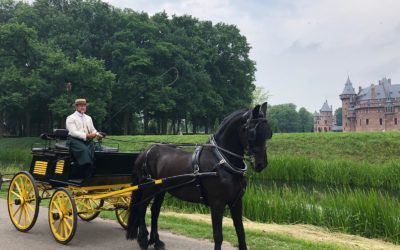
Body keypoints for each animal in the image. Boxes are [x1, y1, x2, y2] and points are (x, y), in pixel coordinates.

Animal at [126, 102, 274, 250]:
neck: (221, 161)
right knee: (141, 208)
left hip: (160, 190)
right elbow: (218, 236)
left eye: (268, 133)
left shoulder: (236, 202)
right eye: (252, 132)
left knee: (155, 210)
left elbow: (241, 232)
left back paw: (156, 241)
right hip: (148, 188)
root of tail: (145, 152)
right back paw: (143, 240)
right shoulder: (217, 204)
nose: (261, 164)